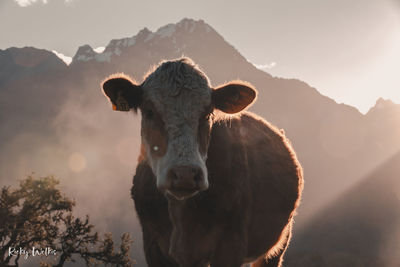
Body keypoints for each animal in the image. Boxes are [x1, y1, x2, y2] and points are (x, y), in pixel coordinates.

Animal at [102, 57, 304, 266]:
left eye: (207, 114)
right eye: (149, 112)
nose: (184, 174)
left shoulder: (231, 243)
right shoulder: (152, 243)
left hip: (279, 242)